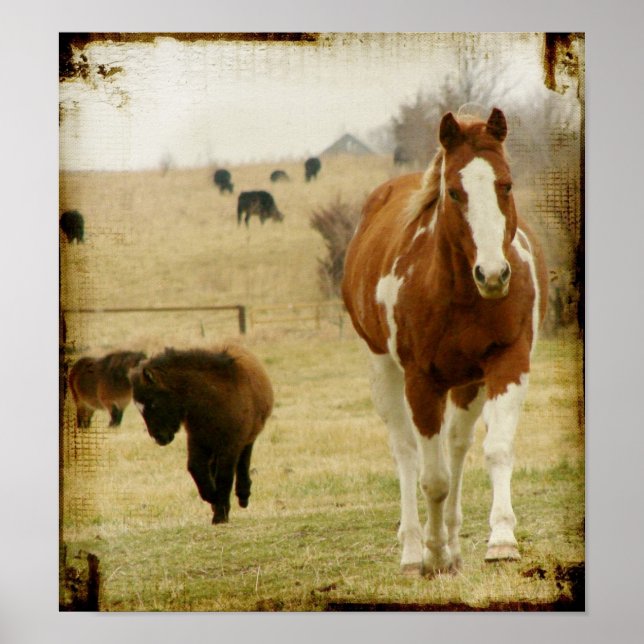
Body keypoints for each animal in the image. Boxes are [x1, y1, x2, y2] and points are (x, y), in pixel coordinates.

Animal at [129, 345, 274, 524]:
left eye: (153, 403)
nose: (158, 438)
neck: (213, 398)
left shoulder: (231, 444)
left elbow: (224, 475)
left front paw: (220, 514)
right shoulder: (198, 440)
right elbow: (196, 467)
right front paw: (213, 498)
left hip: (244, 440)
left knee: (243, 461)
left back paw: (243, 495)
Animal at [342, 108, 548, 576]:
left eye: (506, 184)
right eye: (454, 192)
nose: (494, 274)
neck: (459, 294)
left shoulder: (508, 362)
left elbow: (495, 452)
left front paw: (501, 542)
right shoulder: (422, 381)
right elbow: (431, 478)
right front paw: (431, 553)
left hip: (469, 382)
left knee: (455, 447)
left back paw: (453, 548)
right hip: (383, 370)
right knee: (406, 453)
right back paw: (414, 551)